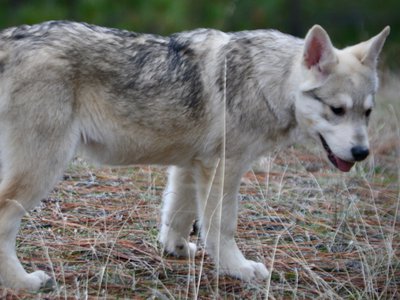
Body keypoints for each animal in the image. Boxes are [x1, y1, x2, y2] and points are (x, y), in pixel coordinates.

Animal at [0, 21, 390, 290]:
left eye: (367, 113)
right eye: (337, 110)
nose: (361, 153)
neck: (267, 81)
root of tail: (9, 37)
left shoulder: (190, 165)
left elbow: (178, 215)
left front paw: (173, 250)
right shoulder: (224, 168)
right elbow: (221, 227)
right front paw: (240, 269)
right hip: (43, 170)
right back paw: (24, 283)